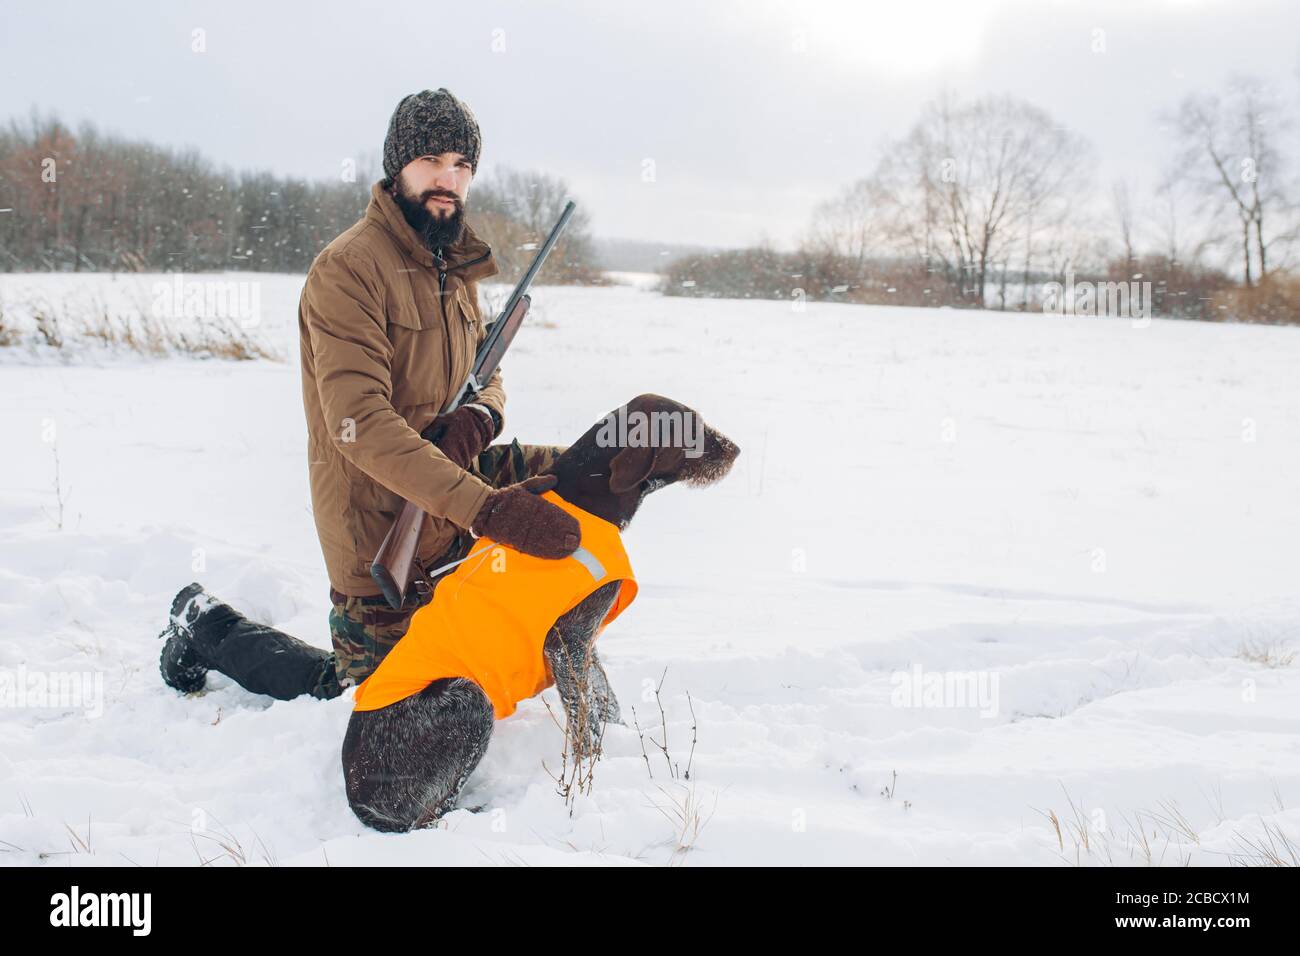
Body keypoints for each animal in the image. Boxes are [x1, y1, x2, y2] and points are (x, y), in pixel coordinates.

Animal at [343, 395, 743, 832]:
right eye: (692, 427)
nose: (735, 449)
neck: (590, 498)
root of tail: (356, 795)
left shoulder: (584, 639)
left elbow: (605, 700)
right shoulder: (567, 643)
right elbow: (584, 721)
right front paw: (588, 777)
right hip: (469, 699)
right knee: (428, 817)